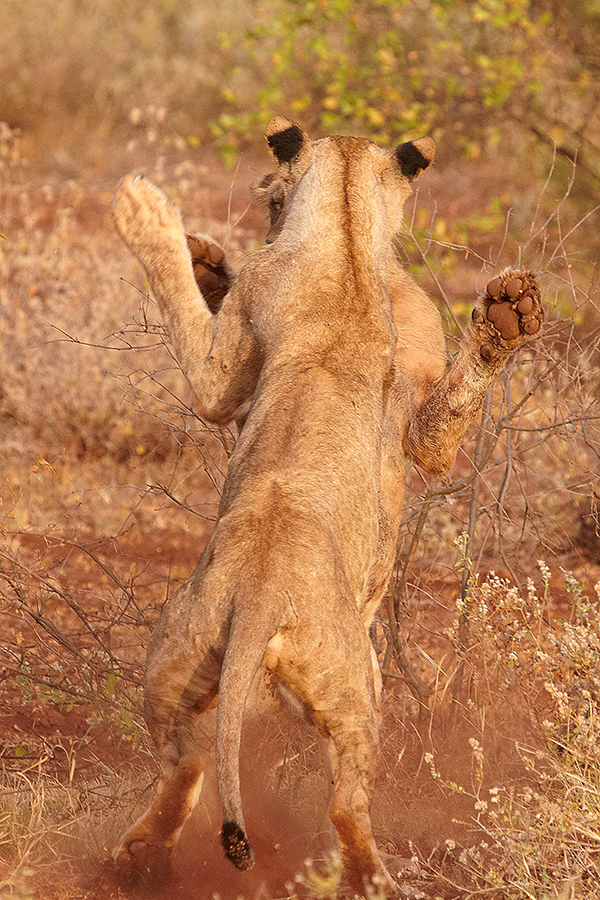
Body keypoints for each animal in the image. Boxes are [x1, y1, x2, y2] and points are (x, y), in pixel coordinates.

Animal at [110, 114, 540, 892]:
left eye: (271, 201)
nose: (265, 219)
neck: (344, 229)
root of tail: (257, 594)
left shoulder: (230, 376)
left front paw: (174, 235)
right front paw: (158, 219)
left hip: (185, 660)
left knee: (193, 767)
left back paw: (144, 859)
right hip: (340, 680)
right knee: (335, 801)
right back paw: (371, 880)